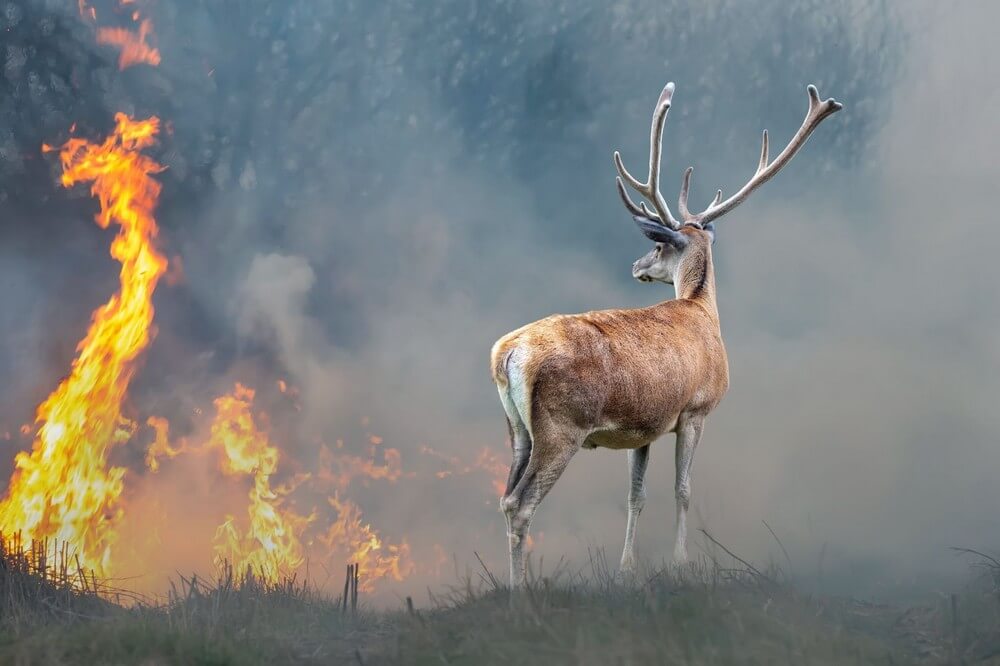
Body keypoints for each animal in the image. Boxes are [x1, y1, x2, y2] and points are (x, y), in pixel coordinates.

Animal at [488, 80, 840, 584]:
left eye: (656, 247)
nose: (636, 265)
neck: (703, 312)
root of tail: (508, 353)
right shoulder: (695, 409)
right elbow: (683, 489)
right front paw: (680, 563)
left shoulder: (644, 427)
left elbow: (637, 495)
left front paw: (626, 568)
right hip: (561, 427)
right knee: (520, 504)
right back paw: (521, 589)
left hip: (516, 428)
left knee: (504, 498)